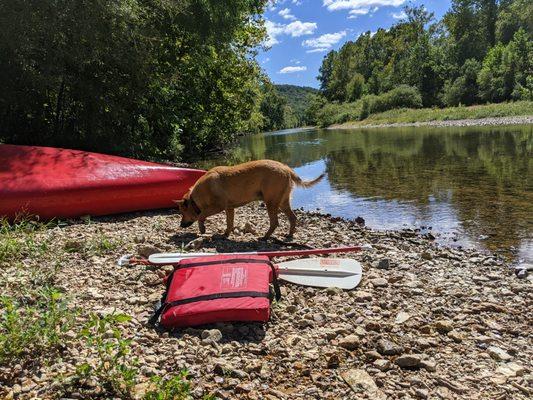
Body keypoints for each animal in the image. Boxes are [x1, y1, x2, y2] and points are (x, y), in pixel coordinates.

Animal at [175, 160, 324, 241]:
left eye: (182, 212)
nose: (181, 225)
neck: (194, 198)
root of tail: (286, 168)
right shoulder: (229, 208)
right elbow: (229, 223)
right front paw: (225, 234)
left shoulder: (218, 207)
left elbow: (201, 216)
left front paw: (202, 229)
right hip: (282, 202)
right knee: (292, 218)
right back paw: (289, 235)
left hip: (271, 202)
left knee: (275, 222)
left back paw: (265, 237)